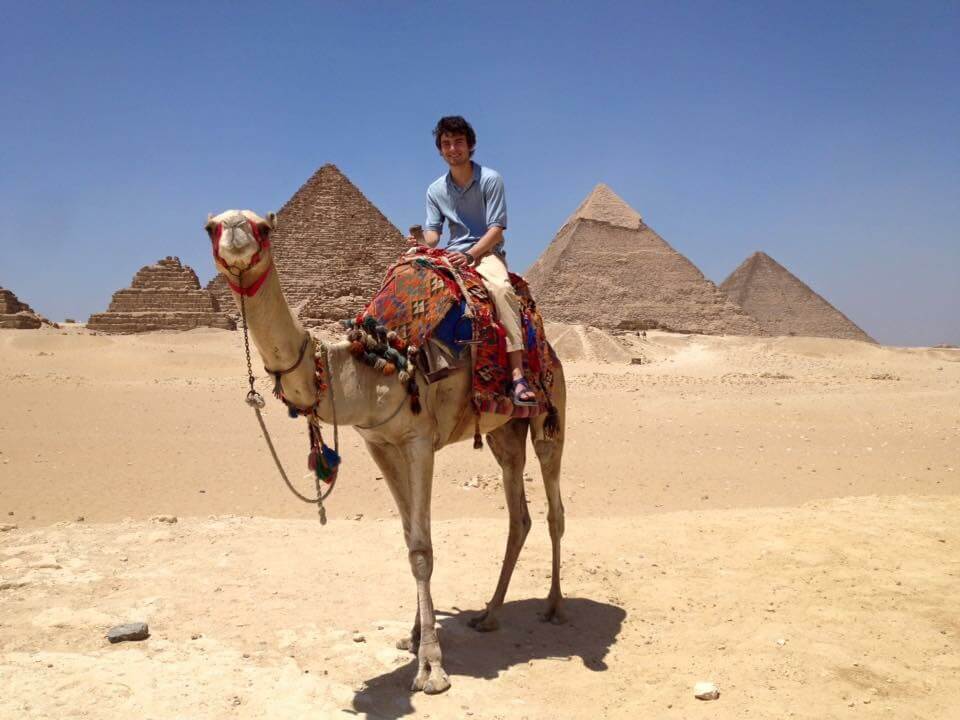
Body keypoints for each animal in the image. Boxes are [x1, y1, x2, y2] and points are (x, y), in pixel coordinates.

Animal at [205, 209, 566, 695]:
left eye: (263, 227)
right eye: (210, 227)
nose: (236, 238)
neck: (375, 362)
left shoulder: (419, 442)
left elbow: (422, 548)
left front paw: (431, 668)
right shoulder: (379, 443)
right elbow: (409, 539)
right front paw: (414, 636)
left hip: (551, 412)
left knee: (553, 510)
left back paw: (554, 606)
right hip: (504, 432)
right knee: (519, 515)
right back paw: (489, 614)